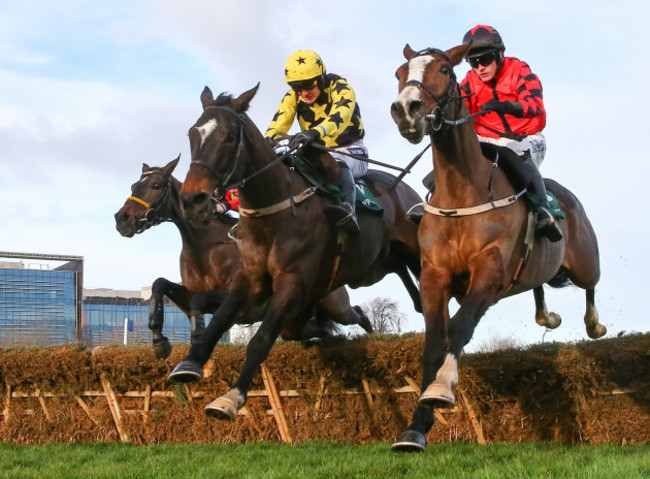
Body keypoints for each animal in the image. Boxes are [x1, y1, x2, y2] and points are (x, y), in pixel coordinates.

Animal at [113, 156, 372, 358]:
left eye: (156, 185)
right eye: (133, 185)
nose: (121, 219)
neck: (204, 245)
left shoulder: (238, 298)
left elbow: (199, 302)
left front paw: (196, 338)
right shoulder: (188, 295)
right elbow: (159, 285)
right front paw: (159, 342)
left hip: (335, 305)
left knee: (356, 314)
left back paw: (370, 332)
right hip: (295, 320)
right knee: (319, 330)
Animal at [167, 84, 420, 422]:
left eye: (230, 136)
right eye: (192, 134)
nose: (193, 200)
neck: (274, 212)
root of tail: (403, 187)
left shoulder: (292, 282)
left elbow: (261, 340)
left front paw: (231, 398)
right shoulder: (249, 279)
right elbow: (219, 319)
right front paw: (189, 363)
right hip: (378, 264)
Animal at [388, 43, 604, 452]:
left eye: (444, 68)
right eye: (399, 73)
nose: (406, 109)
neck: (462, 192)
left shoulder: (488, 273)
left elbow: (459, 329)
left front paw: (441, 389)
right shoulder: (435, 276)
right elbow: (433, 343)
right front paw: (415, 429)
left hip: (585, 260)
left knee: (591, 285)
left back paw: (594, 324)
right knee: (538, 284)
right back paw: (547, 317)